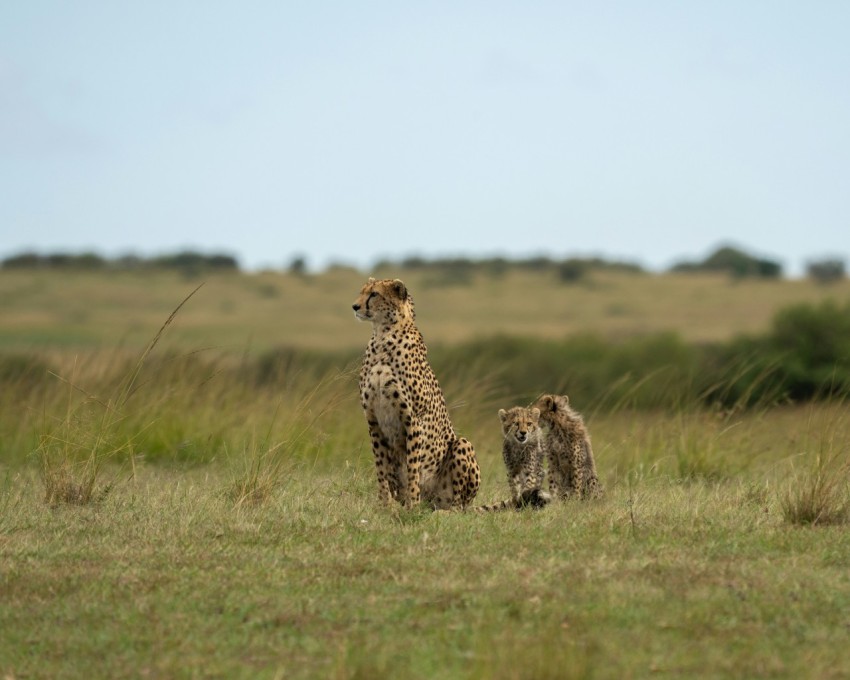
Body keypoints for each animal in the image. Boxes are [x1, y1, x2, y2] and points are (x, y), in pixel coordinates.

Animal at [352, 278, 480, 510]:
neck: (383, 335)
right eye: (362, 292)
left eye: (374, 294)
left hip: (462, 445)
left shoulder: (413, 418)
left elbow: (413, 466)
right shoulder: (372, 419)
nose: (355, 306)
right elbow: (380, 467)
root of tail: (433, 501)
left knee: (458, 506)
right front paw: (384, 504)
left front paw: (412, 505)